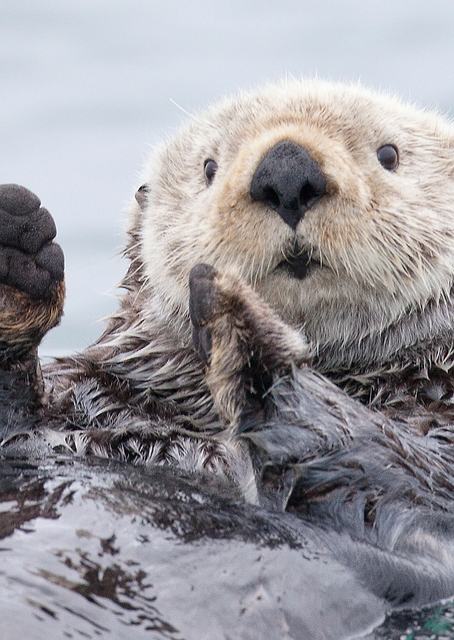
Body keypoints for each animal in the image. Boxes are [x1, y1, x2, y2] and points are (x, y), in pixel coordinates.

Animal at [2, 79, 454, 538]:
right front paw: (17, 248)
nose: (287, 171)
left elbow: (406, 470)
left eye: (389, 155)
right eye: (209, 168)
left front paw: (240, 325)